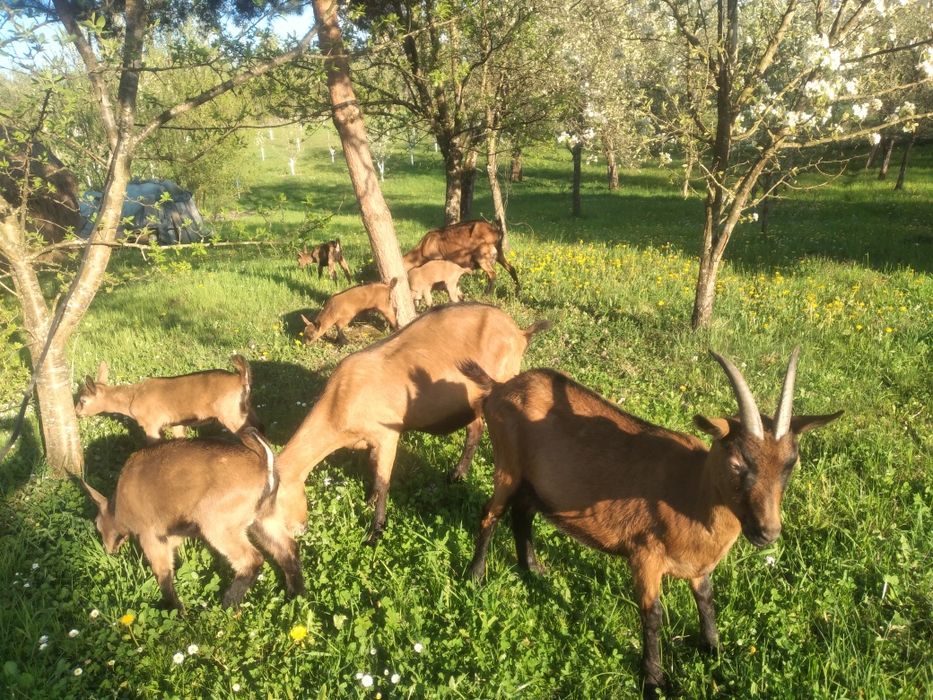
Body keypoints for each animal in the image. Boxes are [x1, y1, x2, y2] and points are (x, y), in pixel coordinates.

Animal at [75, 355, 260, 443]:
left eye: (83, 400)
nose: (77, 413)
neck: (132, 397)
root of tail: (240, 378)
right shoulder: (176, 423)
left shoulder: (151, 424)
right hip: (247, 409)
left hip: (231, 414)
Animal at [78, 428, 305, 611]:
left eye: (98, 524)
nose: (108, 550)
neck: (120, 504)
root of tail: (262, 463)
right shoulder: (173, 533)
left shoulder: (150, 534)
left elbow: (163, 573)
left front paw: (176, 610)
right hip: (264, 517)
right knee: (287, 547)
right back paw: (295, 596)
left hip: (217, 524)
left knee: (252, 559)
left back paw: (226, 605)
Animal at [277, 303, 550, 543]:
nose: (300, 530)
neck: (340, 399)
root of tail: (520, 332)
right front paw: (369, 502)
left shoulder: (387, 436)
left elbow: (383, 480)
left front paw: (375, 532)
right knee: (475, 429)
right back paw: (457, 474)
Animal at [460, 350, 841, 692]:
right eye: (736, 463)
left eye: (791, 463)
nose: (768, 531)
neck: (691, 492)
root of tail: (499, 387)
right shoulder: (644, 555)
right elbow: (653, 614)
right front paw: (654, 678)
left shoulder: (699, 566)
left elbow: (707, 599)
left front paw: (714, 650)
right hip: (507, 466)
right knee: (490, 513)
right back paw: (476, 576)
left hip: (533, 482)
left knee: (522, 513)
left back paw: (533, 569)